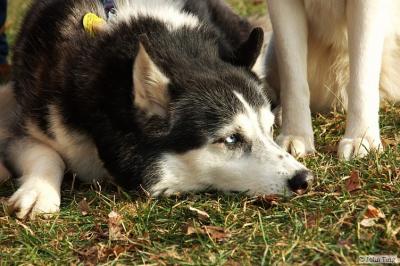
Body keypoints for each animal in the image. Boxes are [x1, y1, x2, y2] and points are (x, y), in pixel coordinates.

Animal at [0, 0, 312, 218]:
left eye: (268, 129)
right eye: (231, 139)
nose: (304, 179)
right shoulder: (30, 124)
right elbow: (48, 154)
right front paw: (39, 191)